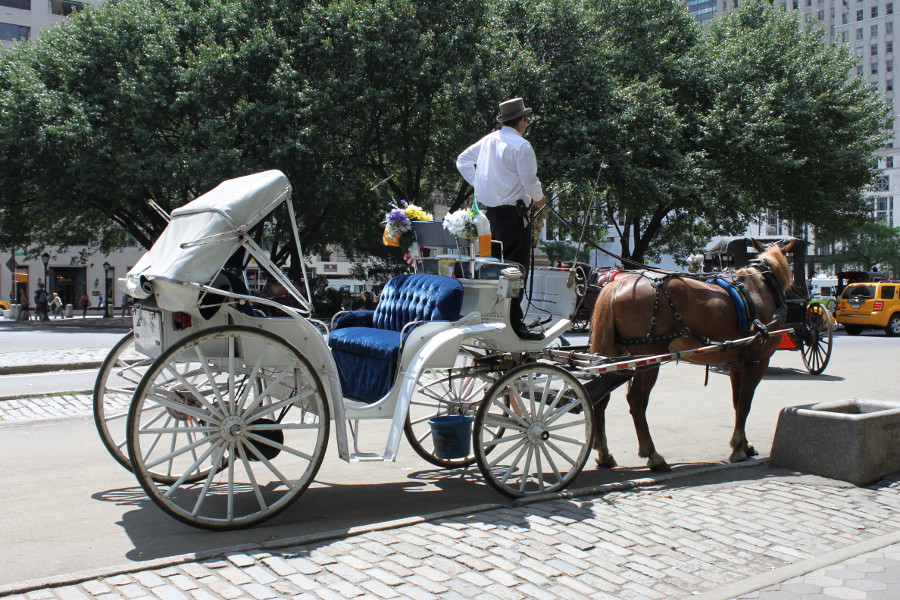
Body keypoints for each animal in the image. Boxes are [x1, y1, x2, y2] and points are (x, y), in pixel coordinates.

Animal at [592, 241, 796, 472]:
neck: (758, 289)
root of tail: (619, 283)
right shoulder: (757, 361)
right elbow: (745, 402)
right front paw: (738, 448)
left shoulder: (737, 363)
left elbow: (737, 401)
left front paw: (745, 444)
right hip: (648, 356)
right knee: (637, 400)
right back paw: (653, 454)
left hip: (614, 354)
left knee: (602, 397)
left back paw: (604, 454)